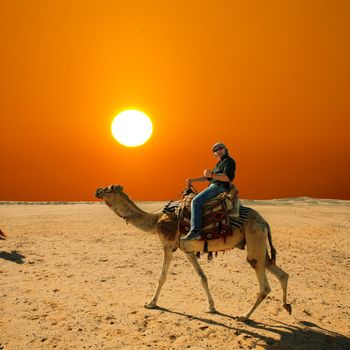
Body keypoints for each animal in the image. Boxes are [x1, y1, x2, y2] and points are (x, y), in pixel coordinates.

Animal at [94, 185, 292, 322]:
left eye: (109, 187)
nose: (97, 190)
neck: (156, 220)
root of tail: (264, 221)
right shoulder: (187, 250)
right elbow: (202, 277)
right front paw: (211, 307)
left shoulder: (168, 245)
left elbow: (162, 276)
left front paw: (151, 303)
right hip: (258, 244)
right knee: (281, 273)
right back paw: (286, 306)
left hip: (255, 237)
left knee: (263, 282)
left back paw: (243, 316)